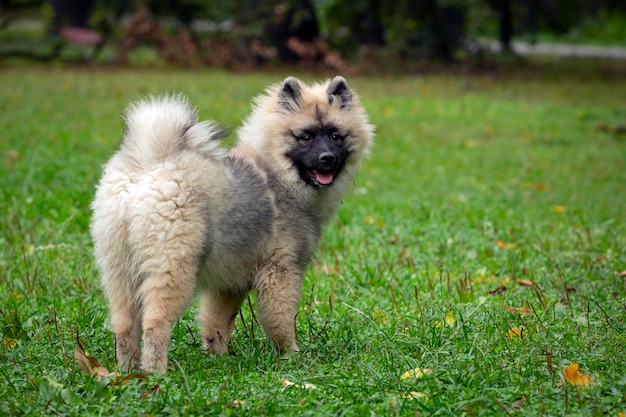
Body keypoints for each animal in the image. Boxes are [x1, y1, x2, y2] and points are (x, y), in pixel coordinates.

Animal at [88, 76, 370, 372]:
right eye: (306, 137)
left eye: (336, 136)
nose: (327, 158)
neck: (279, 174)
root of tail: (152, 164)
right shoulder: (280, 272)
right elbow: (282, 321)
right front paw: (291, 355)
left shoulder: (229, 285)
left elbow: (217, 324)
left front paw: (218, 357)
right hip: (174, 269)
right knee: (155, 323)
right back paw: (156, 372)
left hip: (119, 269)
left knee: (124, 326)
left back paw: (128, 372)